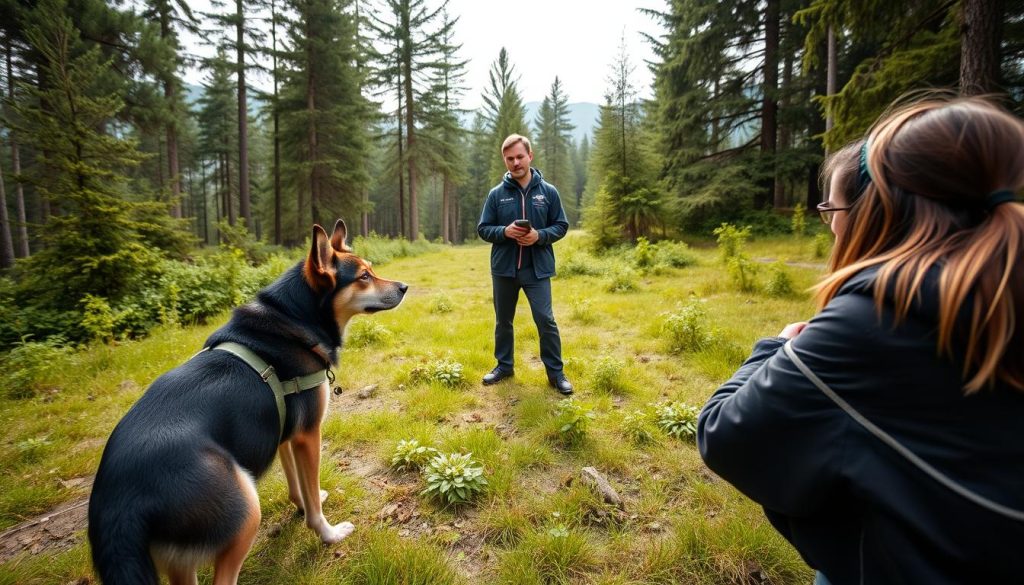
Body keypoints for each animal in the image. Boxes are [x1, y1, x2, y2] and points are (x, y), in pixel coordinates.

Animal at [87, 221, 407, 585]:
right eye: (364, 276)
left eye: (372, 270)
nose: (404, 287)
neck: (296, 317)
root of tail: (119, 504)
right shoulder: (308, 435)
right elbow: (312, 498)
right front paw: (328, 533)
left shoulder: (284, 433)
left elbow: (300, 488)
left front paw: (301, 505)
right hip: (246, 509)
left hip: (180, 558)